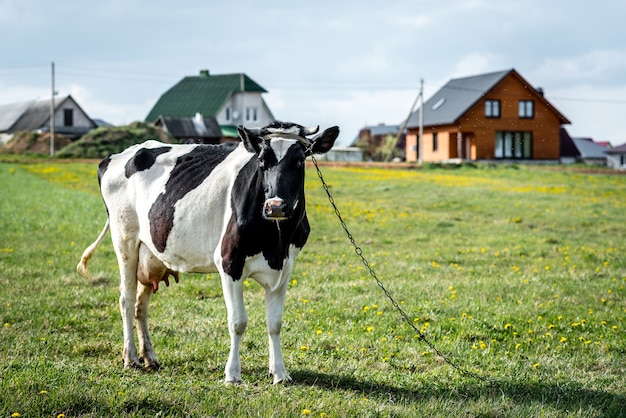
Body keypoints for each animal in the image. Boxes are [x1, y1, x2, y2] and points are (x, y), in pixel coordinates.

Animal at [79, 120, 342, 382]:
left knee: (140, 306)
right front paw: (232, 374)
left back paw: (150, 358)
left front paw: (279, 373)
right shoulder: (229, 262)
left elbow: (274, 323)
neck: (275, 242)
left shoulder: (284, 268)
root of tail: (118, 155)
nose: (275, 206)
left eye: (300, 161)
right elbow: (238, 322)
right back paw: (131, 358)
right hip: (125, 240)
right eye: (261, 161)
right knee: (126, 299)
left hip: (151, 253)